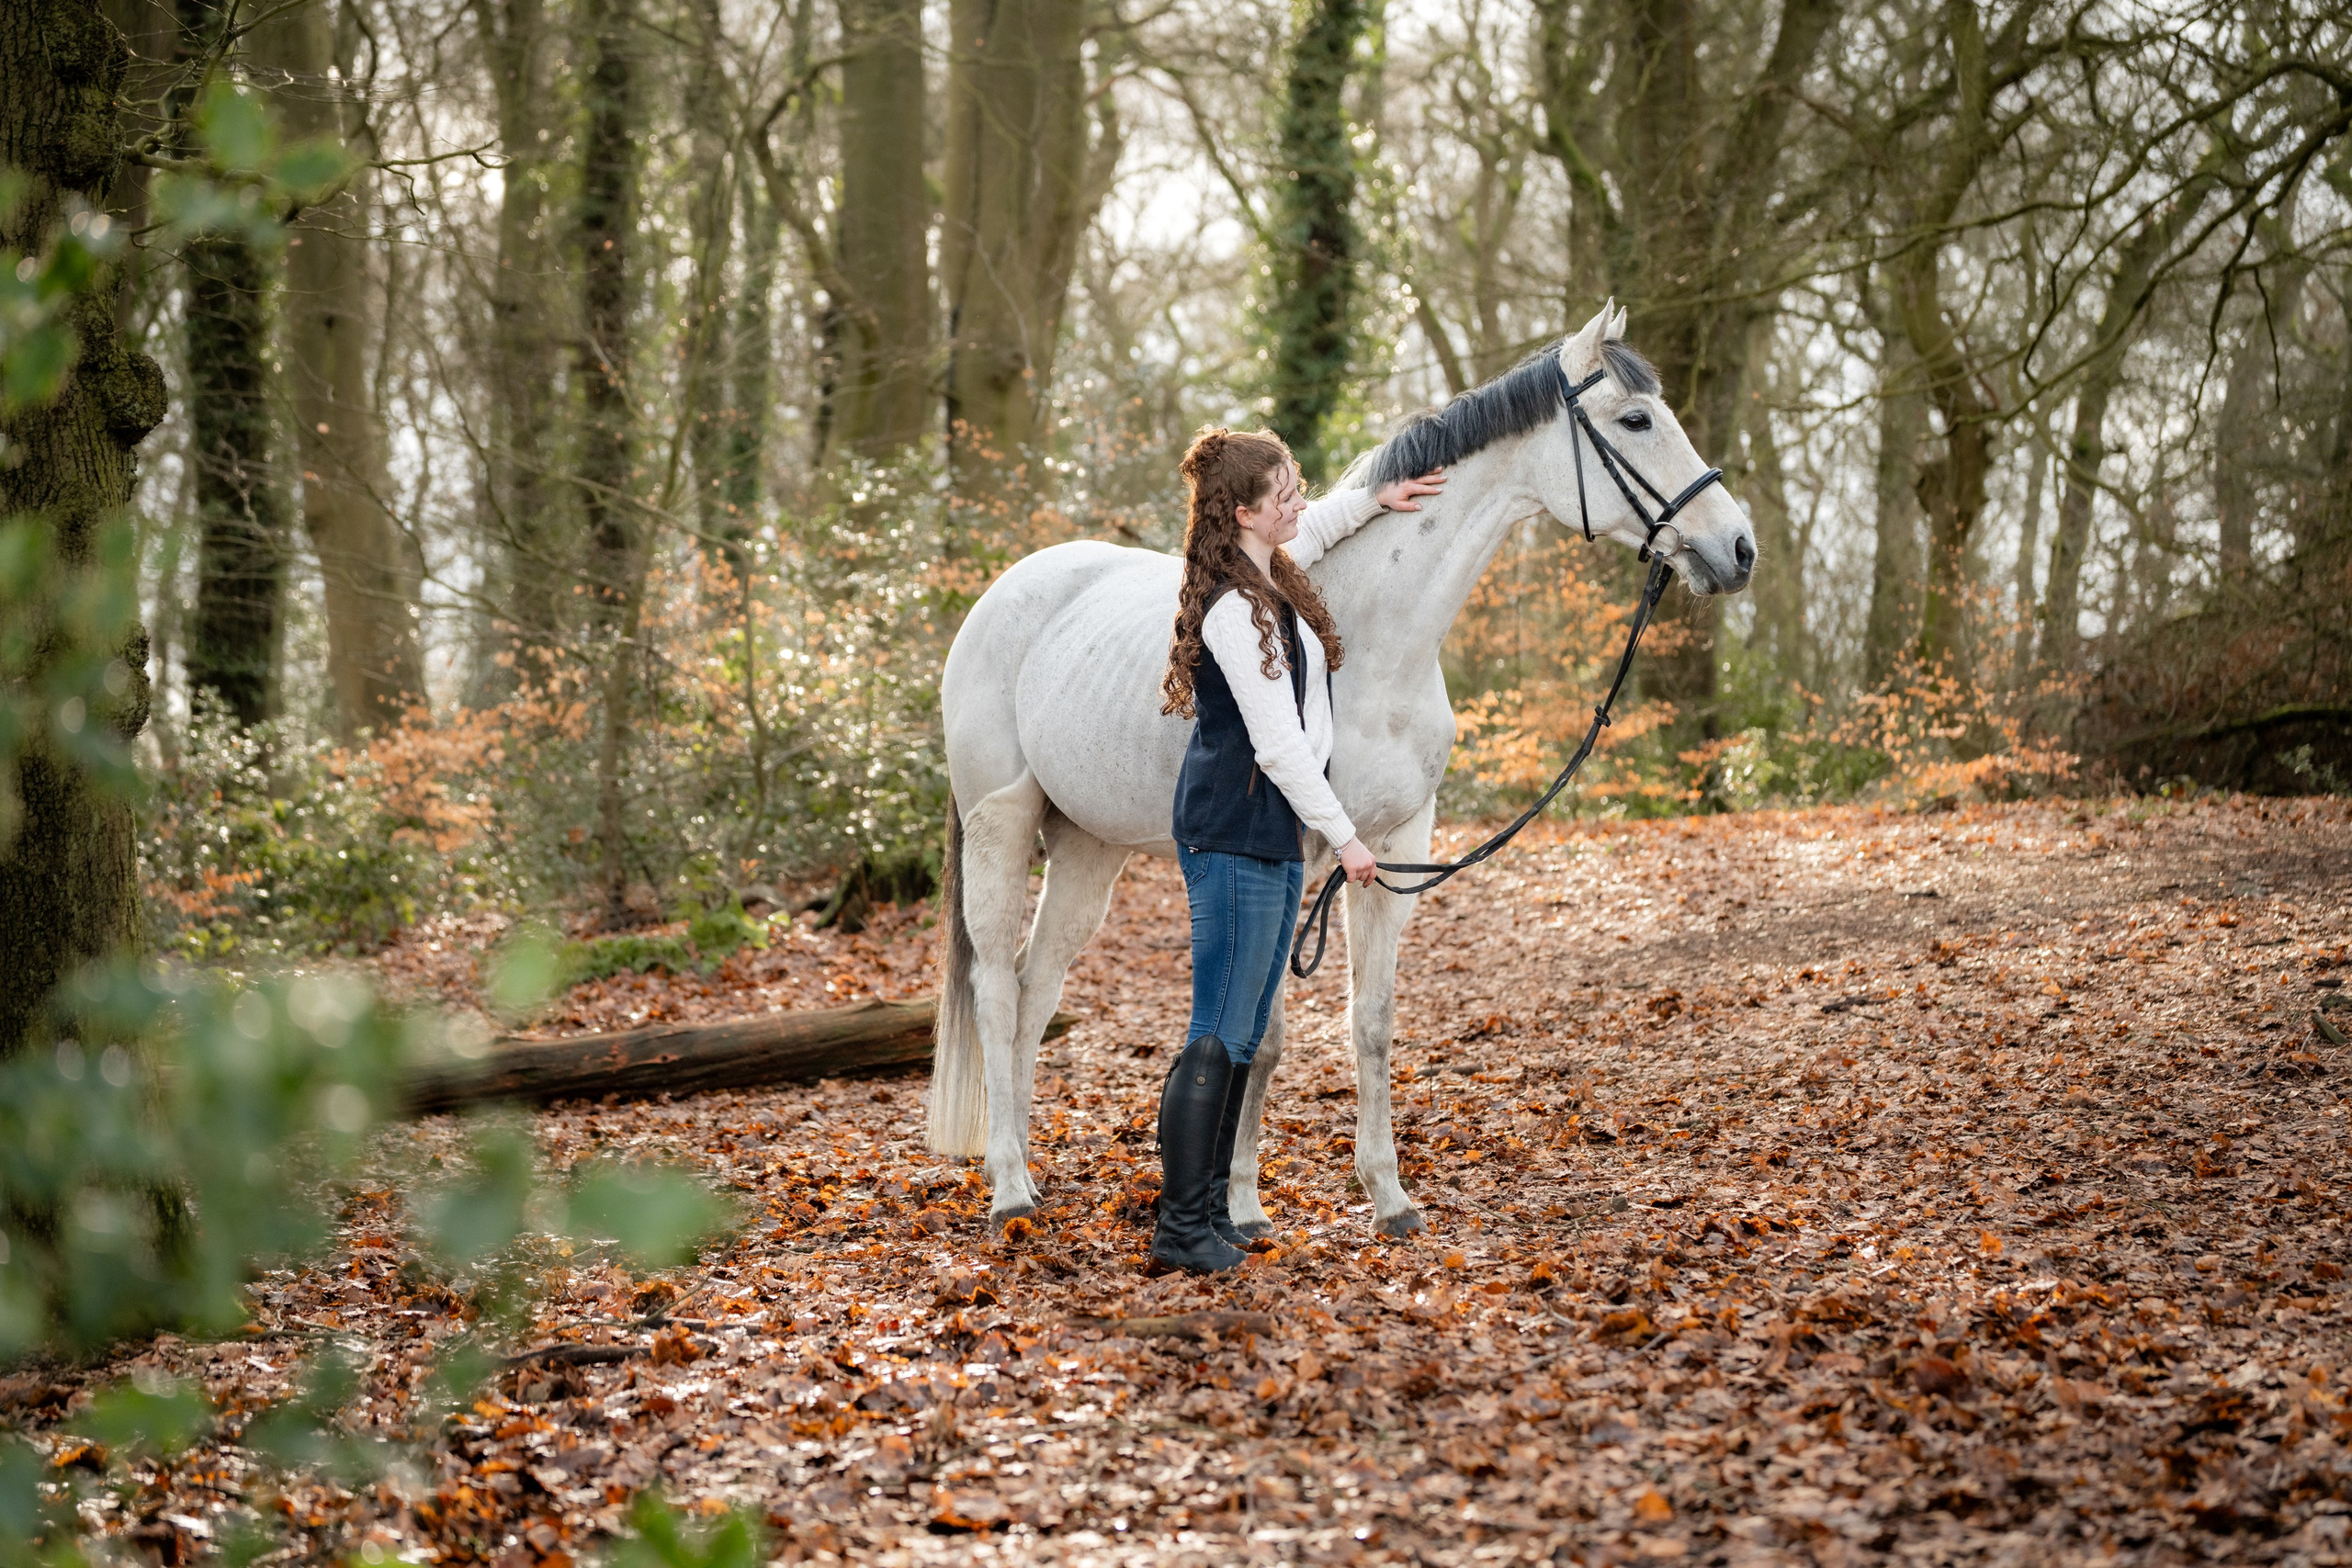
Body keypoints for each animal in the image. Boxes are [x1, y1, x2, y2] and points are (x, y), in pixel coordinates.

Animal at [928, 302, 1755, 1239]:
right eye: (1637, 419)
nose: (1737, 548)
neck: (1371, 642)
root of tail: (998, 596)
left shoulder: (1395, 846)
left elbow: (1373, 1023)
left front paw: (1389, 1197)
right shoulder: (1296, 856)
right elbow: (1265, 1036)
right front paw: (1245, 1206)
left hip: (1087, 849)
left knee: (1036, 992)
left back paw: (1029, 1169)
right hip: (1002, 823)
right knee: (997, 989)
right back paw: (1007, 1187)